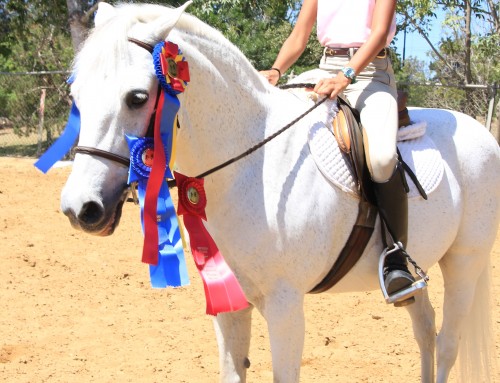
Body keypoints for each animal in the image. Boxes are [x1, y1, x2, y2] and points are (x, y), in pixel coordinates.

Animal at [61, 3, 500, 383]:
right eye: (76, 97)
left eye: (137, 98)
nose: (81, 209)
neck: (251, 162)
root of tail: (480, 132)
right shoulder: (229, 300)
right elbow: (232, 371)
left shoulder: (285, 304)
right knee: (425, 330)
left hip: (465, 262)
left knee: (447, 344)